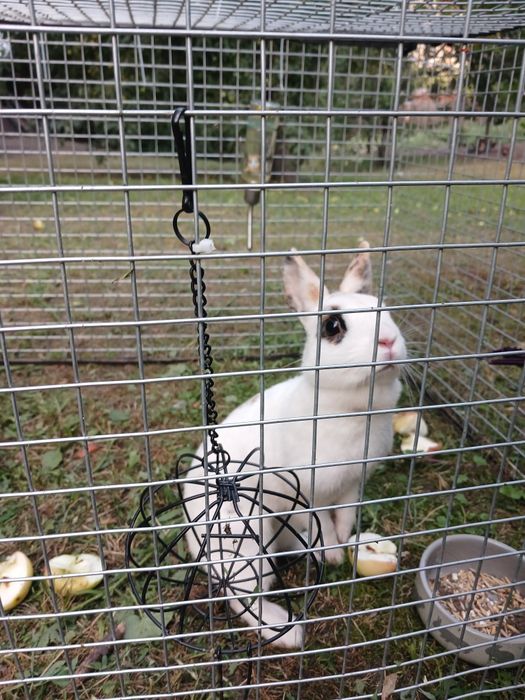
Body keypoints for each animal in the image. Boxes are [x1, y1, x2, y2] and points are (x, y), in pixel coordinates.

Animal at [182, 241, 407, 649]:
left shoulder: (351, 486)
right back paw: (285, 630)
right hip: (248, 540)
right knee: (240, 595)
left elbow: (343, 519)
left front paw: (341, 548)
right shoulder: (305, 492)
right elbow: (322, 526)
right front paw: (332, 555)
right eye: (332, 325)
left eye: (382, 307)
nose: (389, 341)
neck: (352, 410)